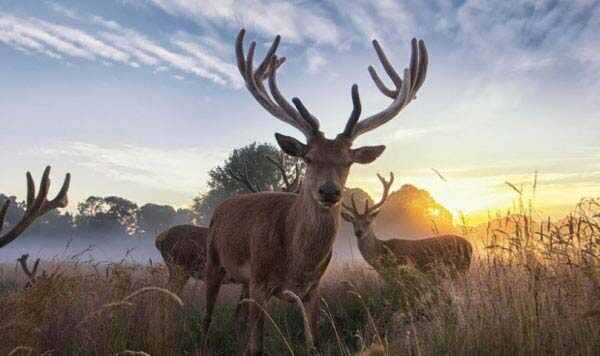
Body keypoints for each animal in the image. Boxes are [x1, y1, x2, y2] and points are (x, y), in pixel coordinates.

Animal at [204, 28, 428, 356]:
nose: (330, 191)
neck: (296, 262)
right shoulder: (260, 280)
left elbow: (313, 341)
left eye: (348, 162)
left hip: (242, 281)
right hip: (213, 261)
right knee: (208, 316)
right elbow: (257, 347)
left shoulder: (314, 288)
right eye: (308, 158)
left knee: (238, 315)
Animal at [342, 172, 474, 276]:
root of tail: (470, 245)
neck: (382, 253)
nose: (359, 232)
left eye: (368, 222)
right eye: (353, 222)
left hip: (461, 267)